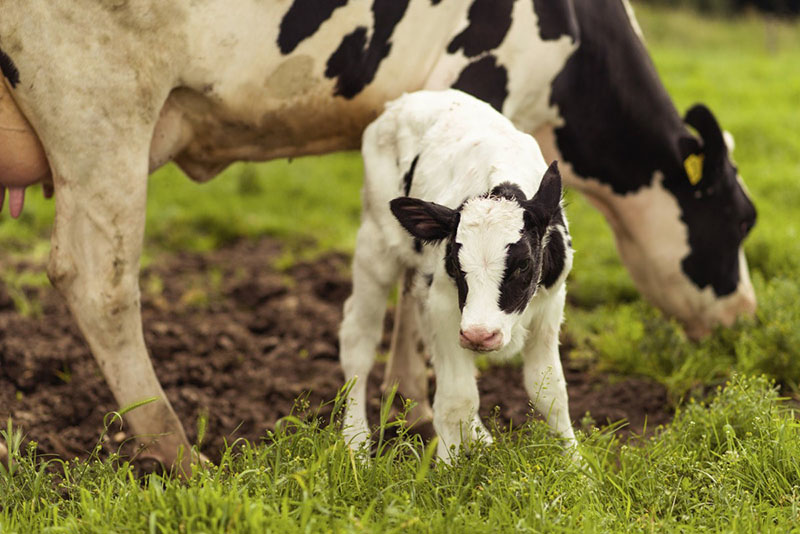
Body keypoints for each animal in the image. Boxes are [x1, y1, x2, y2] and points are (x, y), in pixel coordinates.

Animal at [340, 89, 580, 460]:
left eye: (524, 264)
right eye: (454, 261)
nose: (480, 335)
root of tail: (405, 100)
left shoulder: (551, 304)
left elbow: (550, 389)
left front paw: (578, 465)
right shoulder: (444, 304)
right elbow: (457, 398)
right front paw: (450, 467)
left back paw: (480, 438)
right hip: (375, 244)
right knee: (358, 338)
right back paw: (355, 442)